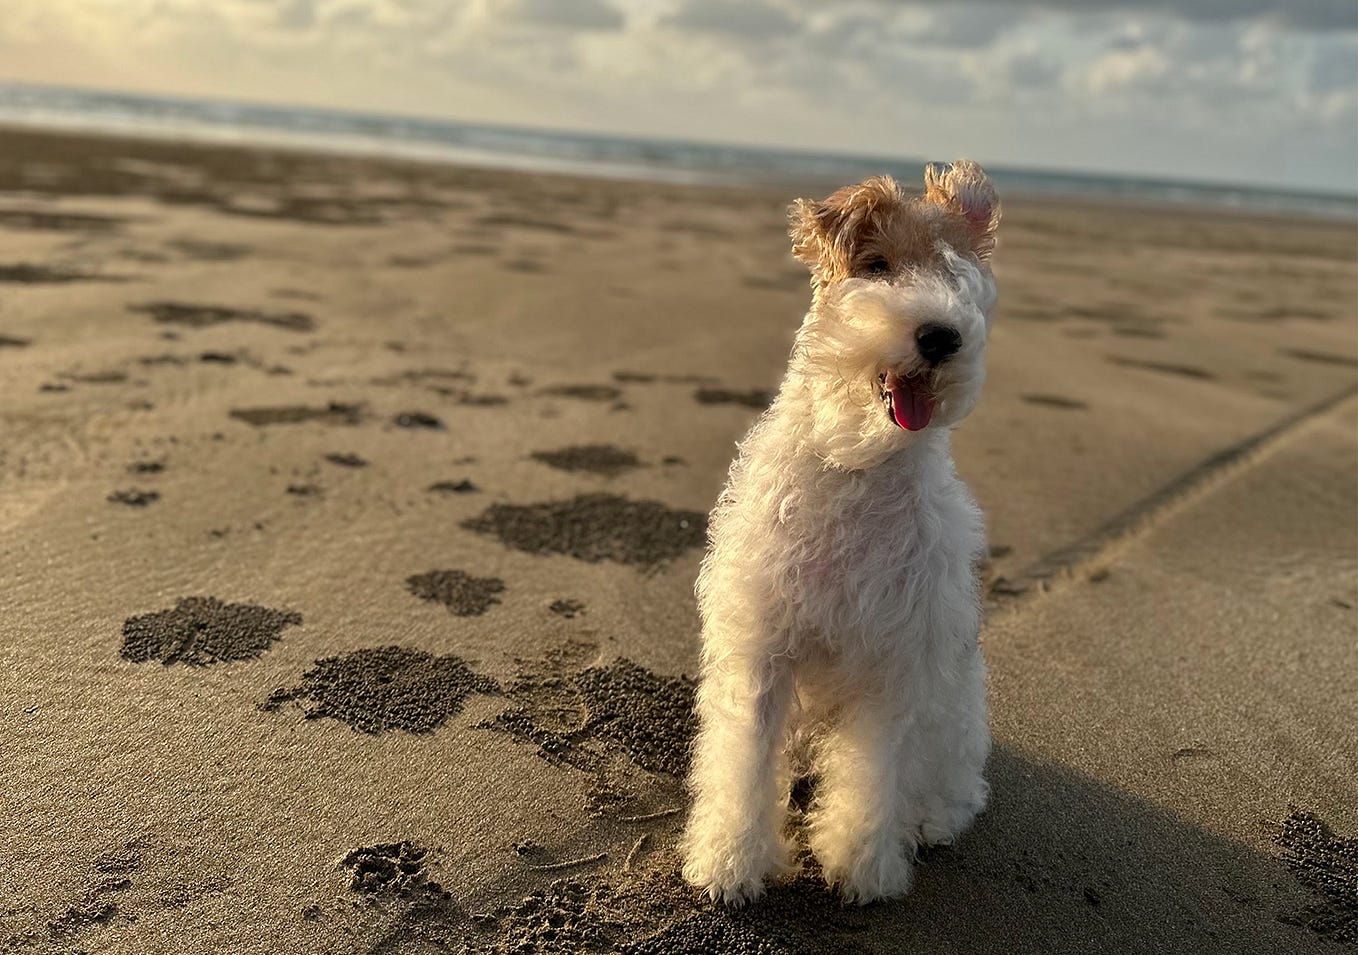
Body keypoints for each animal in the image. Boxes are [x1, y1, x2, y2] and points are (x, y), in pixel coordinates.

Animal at [684, 162, 1004, 902]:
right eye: (876, 265)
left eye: (959, 273)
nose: (941, 336)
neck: (858, 467)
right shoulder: (763, 642)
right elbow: (745, 757)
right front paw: (729, 862)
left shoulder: (896, 659)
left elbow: (873, 773)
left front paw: (862, 866)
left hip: (956, 707)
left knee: (956, 785)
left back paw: (930, 820)